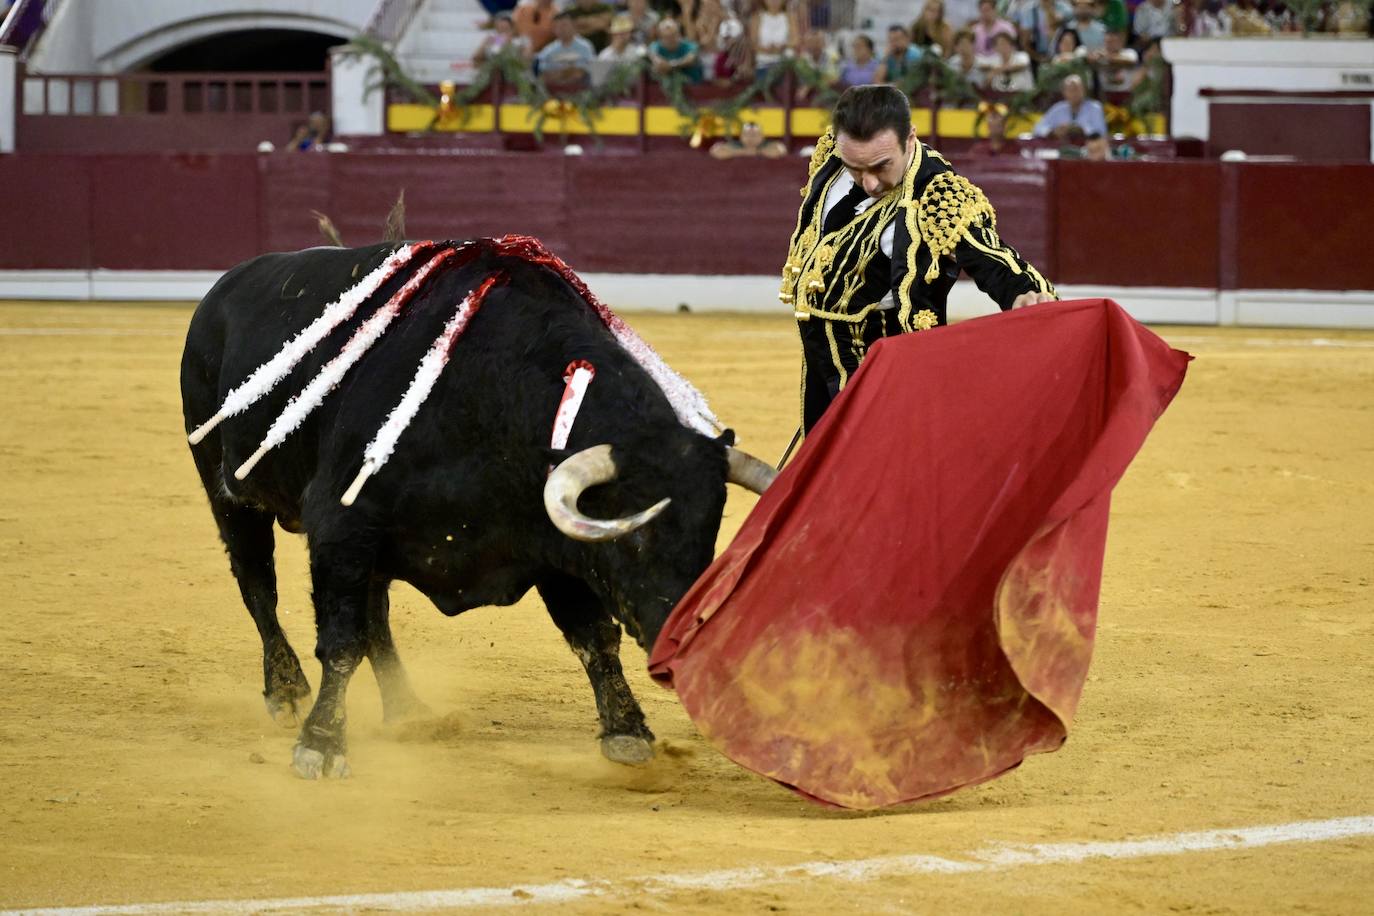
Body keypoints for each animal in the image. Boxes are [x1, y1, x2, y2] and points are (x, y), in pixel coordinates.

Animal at [179, 240, 774, 780]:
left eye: (711, 532)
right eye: (633, 536)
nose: (685, 642)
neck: (491, 401)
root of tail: (224, 288)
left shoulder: (552, 540)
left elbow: (591, 635)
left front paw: (626, 731)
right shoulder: (341, 525)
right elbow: (341, 640)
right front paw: (321, 745)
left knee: (375, 615)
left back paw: (407, 710)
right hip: (228, 492)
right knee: (259, 587)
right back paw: (285, 689)